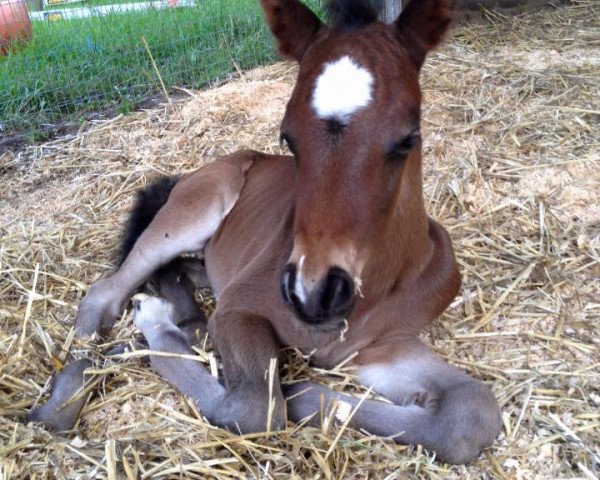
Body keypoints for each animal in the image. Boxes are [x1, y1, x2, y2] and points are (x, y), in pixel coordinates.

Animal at [31, 0, 502, 464]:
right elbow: (255, 410)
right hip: (193, 212)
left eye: (407, 138)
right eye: (288, 137)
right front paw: (155, 328)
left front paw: (305, 393)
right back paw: (69, 387)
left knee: (181, 272)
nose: (314, 294)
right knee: (109, 290)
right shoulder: (240, 309)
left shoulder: (381, 347)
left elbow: (472, 414)